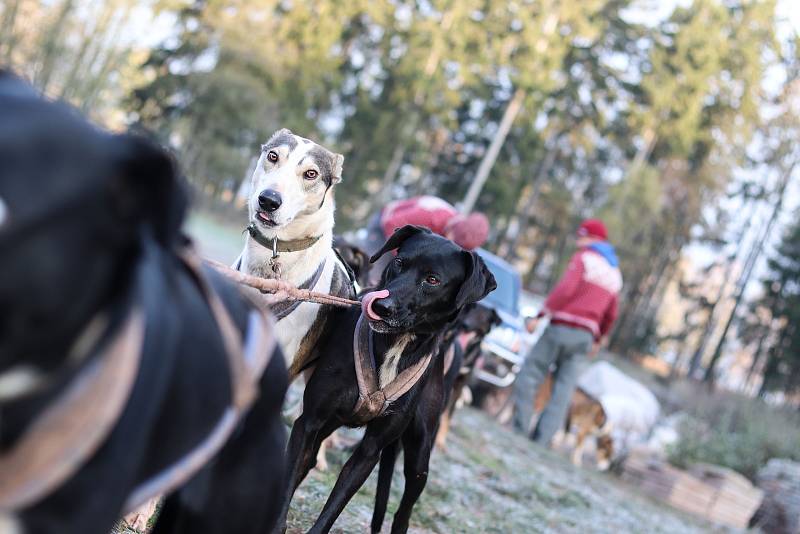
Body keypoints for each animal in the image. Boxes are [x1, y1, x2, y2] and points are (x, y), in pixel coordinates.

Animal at [278, 227, 496, 534]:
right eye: (399, 262)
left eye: (433, 280)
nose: (382, 306)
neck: (395, 345)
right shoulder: (309, 423)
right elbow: (287, 483)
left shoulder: (371, 450)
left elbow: (335, 506)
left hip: (420, 457)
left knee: (404, 509)